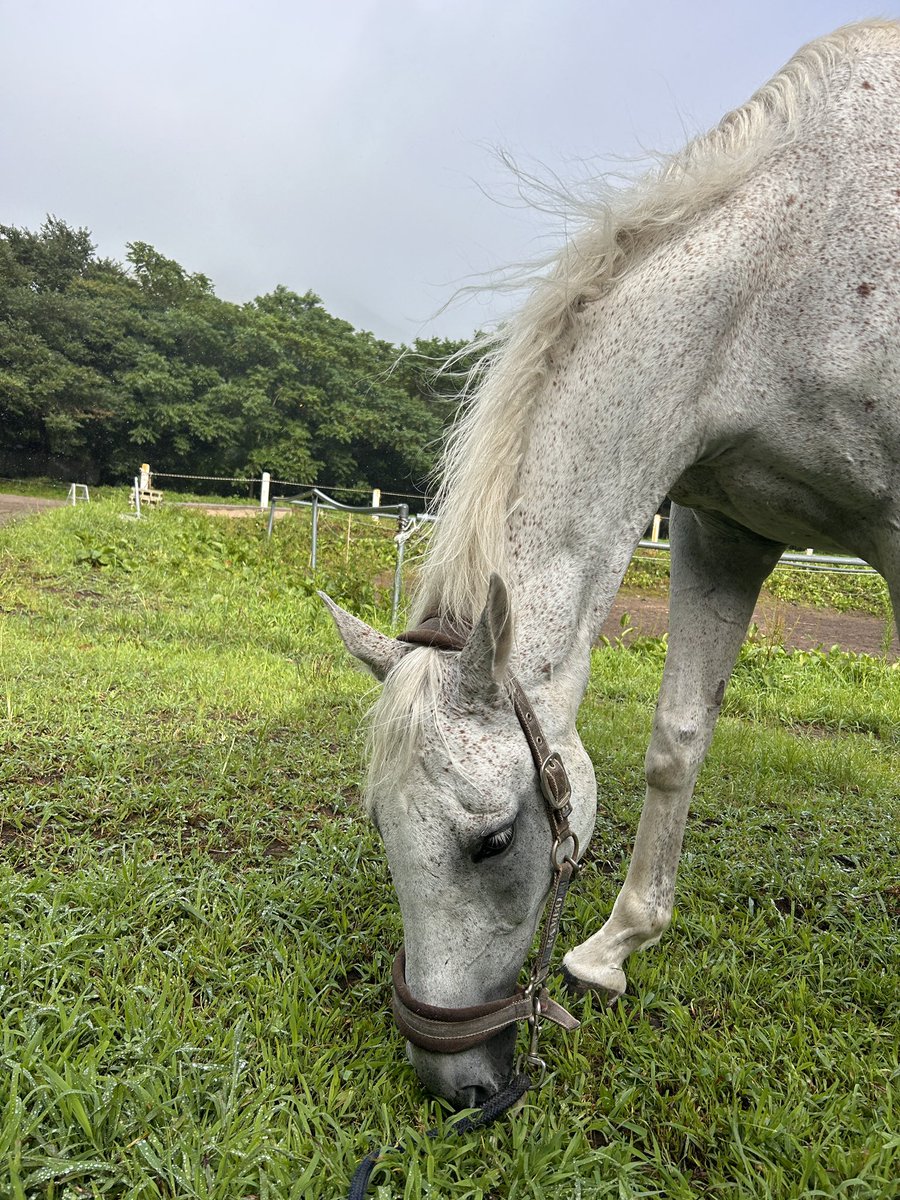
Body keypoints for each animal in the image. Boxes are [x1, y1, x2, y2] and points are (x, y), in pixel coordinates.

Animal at [324, 20, 900, 1108]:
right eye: (378, 826)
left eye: (494, 841)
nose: (454, 1081)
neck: (784, 287)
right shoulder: (723, 530)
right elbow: (677, 739)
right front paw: (612, 951)